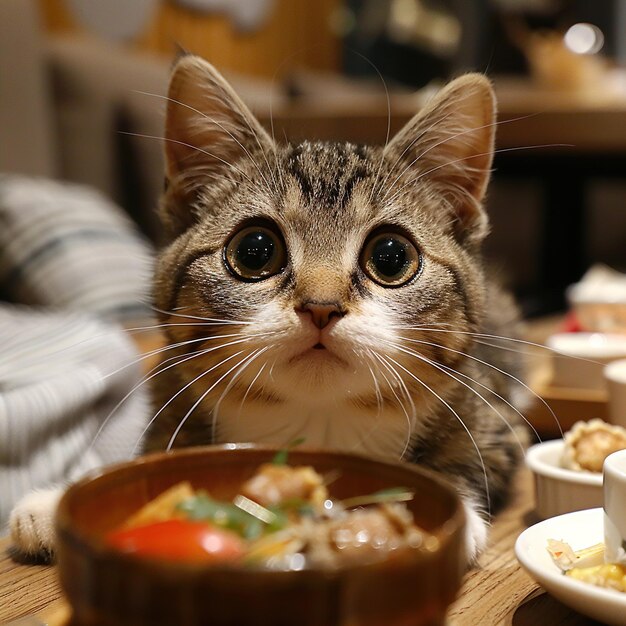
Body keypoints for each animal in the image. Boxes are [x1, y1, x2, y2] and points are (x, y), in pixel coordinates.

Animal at [9, 54, 528, 560]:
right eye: (255, 251)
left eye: (391, 257)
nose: (321, 306)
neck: (317, 421)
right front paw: (51, 505)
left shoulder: (498, 422)